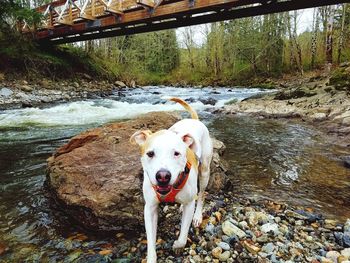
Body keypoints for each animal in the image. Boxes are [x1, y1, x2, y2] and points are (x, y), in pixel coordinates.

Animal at [131, 98, 213, 262]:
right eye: (150, 153)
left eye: (176, 153)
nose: (163, 176)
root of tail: (194, 120)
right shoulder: (150, 208)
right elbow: (151, 241)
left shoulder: (190, 205)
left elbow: (183, 237)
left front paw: (176, 245)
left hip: (205, 171)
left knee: (201, 195)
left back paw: (197, 216)